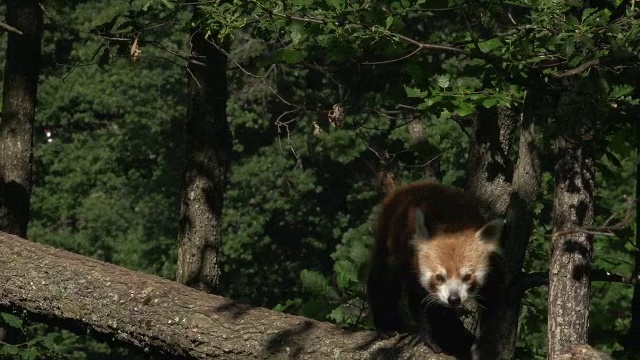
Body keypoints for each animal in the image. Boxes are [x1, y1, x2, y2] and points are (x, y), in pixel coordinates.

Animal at [368, 183, 502, 358]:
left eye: (467, 277)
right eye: (439, 277)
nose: (454, 299)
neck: (453, 224)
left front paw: (484, 345)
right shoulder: (413, 265)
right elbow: (422, 304)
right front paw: (430, 338)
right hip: (389, 235)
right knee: (383, 278)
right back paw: (386, 325)